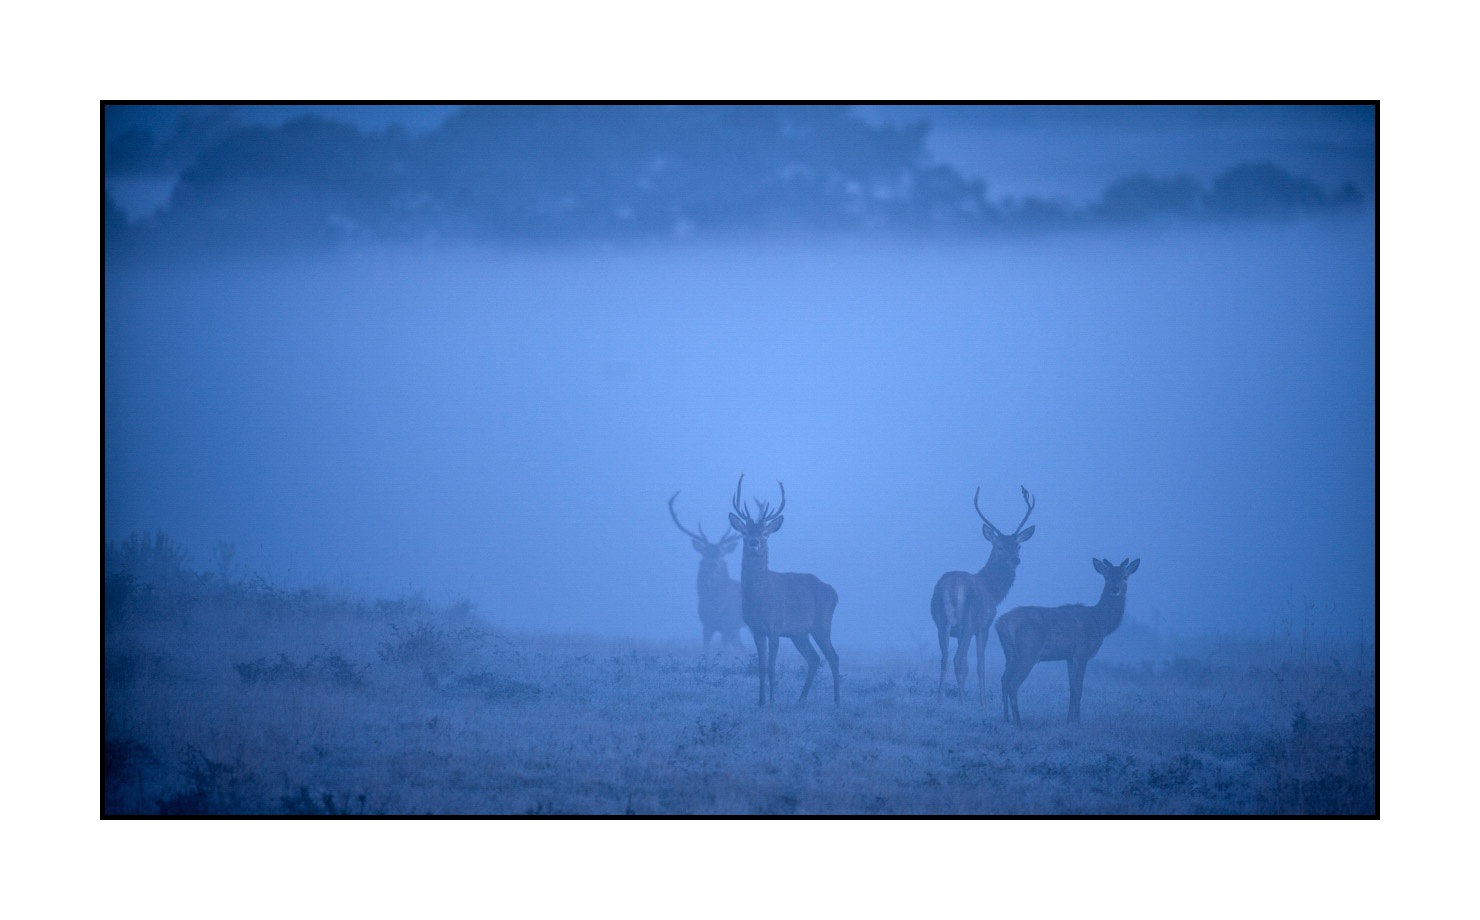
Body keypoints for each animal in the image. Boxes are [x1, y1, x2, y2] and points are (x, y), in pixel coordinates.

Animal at [667, 491, 745, 652]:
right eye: (705, 554)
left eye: (722, 554)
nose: (713, 564)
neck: (714, 603)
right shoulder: (707, 625)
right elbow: (705, 649)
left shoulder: (729, 623)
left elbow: (725, 650)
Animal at [727, 474, 840, 707]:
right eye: (745, 532)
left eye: (765, 533)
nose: (754, 542)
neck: (760, 597)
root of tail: (834, 592)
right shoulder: (756, 628)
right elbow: (761, 666)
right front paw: (760, 701)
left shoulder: (775, 625)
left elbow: (771, 666)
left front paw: (771, 701)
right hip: (800, 632)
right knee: (814, 658)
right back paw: (800, 700)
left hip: (822, 623)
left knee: (833, 657)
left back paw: (836, 700)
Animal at [930, 486, 1036, 705]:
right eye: (999, 546)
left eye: (1018, 545)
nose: (1015, 560)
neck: (993, 590)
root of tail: (952, 586)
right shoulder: (984, 626)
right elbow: (981, 665)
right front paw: (983, 702)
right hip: (968, 622)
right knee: (958, 660)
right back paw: (962, 702)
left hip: (941, 623)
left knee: (944, 659)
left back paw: (939, 700)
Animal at [996, 557, 1141, 724]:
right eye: (1106, 577)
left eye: (1124, 577)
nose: (1115, 589)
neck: (1100, 622)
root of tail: (1001, 623)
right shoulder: (1082, 653)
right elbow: (1079, 688)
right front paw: (1077, 721)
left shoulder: (1069, 656)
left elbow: (1072, 687)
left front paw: (1068, 719)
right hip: (1029, 651)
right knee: (1013, 684)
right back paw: (1019, 722)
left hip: (1010, 654)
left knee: (1004, 680)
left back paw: (1006, 719)